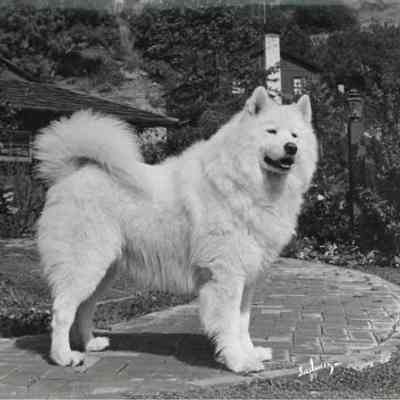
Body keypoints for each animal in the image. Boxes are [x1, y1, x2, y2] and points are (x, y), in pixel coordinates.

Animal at [34, 86, 318, 373]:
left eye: (295, 135)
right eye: (271, 131)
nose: (292, 148)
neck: (244, 182)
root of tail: (70, 173)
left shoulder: (248, 277)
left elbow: (242, 322)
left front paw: (250, 353)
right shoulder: (225, 275)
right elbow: (228, 324)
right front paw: (238, 361)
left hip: (105, 271)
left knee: (85, 307)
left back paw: (90, 344)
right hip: (86, 264)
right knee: (62, 310)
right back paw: (63, 356)